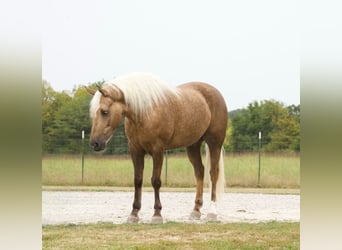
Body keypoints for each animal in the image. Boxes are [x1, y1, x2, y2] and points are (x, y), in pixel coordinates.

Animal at [85, 72, 227, 223]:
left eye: (104, 111)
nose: (95, 143)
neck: (145, 112)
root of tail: (215, 93)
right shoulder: (135, 150)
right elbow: (138, 180)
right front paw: (134, 213)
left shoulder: (158, 150)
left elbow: (156, 181)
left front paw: (157, 214)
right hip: (193, 145)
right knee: (199, 172)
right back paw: (196, 210)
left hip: (214, 143)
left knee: (213, 173)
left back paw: (212, 212)